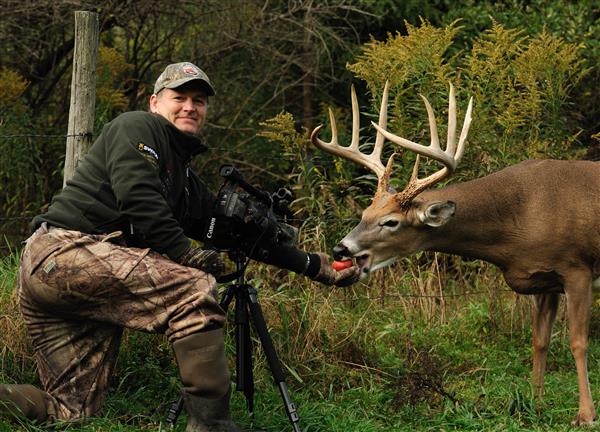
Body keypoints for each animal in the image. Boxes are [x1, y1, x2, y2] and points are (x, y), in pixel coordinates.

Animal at [312, 82, 600, 426]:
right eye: (365, 213)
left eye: (391, 222)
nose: (341, 248)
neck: (520, 219)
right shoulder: (542, 280)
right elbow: (539, 341)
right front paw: (535, 403)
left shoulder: (577, 268)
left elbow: (578, 342)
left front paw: (585, 415)